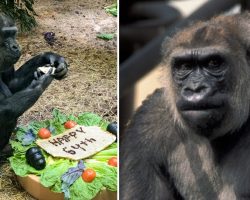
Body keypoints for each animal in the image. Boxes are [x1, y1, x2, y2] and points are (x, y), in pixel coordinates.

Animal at [0, 13, 67, 153]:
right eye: (5, 35)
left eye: (13, 34)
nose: (15, 46)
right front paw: (39, 84)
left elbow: (11, 83)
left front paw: (52, 57)